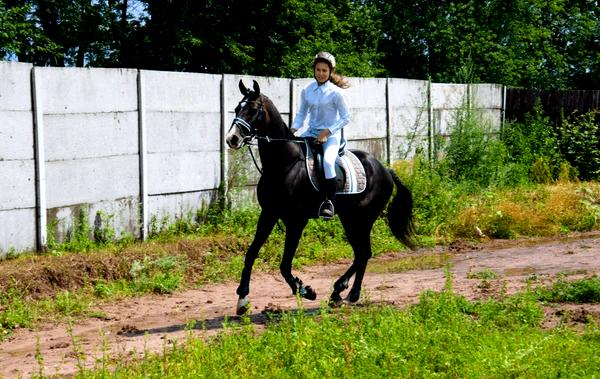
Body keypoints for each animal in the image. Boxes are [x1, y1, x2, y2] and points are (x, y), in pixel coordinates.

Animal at [224, 79, 412, 314]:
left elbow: (285, 264)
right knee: (361, 253)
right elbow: (251, 253)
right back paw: (339, 293)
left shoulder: (296, 220)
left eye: (252, 110)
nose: (232, 139)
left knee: (364, 253)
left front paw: (306, 290)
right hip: (349, 219)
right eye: (237, 108)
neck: (284, 164)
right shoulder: (269, 214)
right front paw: (242, 299)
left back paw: (348, 293)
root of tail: (385, 170)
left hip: (362, 219)